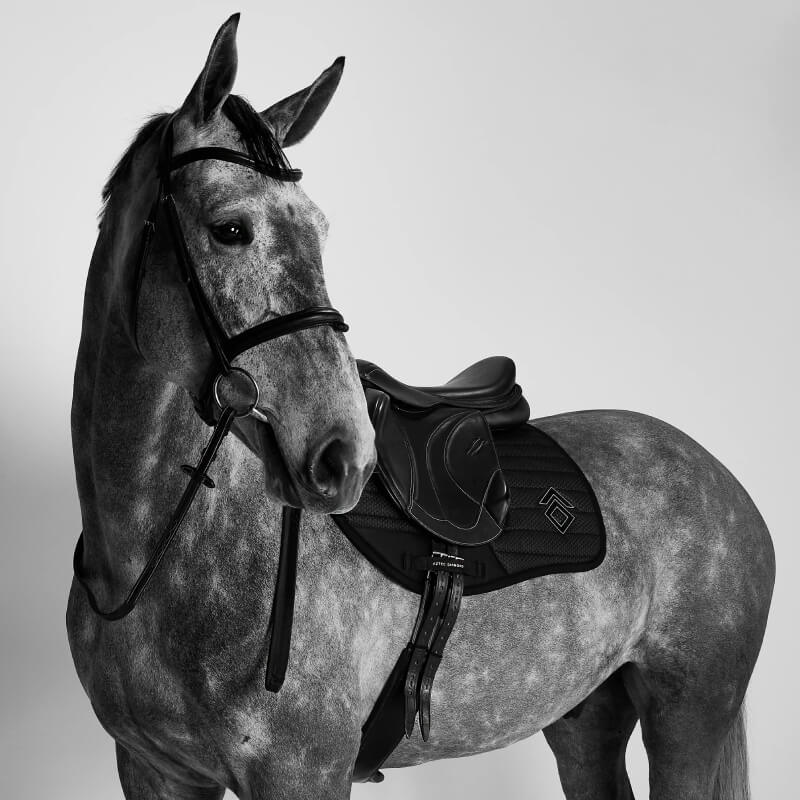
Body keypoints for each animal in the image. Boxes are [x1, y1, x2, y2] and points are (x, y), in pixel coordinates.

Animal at [67, 14, 775, 800]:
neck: (152, 563)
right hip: (585, 720)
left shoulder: (303, 773)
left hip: (689, 719)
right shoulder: (153, 769)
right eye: (229, 228)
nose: (344, 455)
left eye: (320, 228)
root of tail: (719, 474)